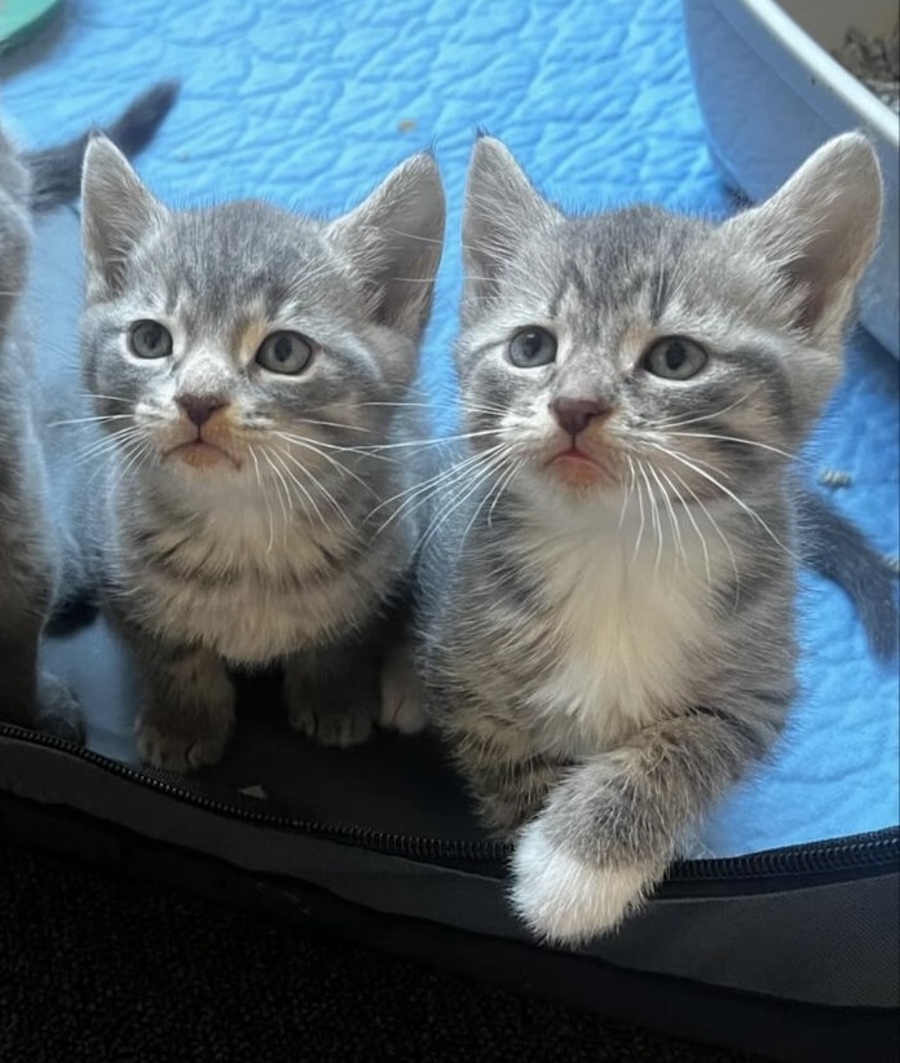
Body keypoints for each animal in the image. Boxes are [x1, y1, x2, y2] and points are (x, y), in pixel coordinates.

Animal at [76, 136, 444, 772]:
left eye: (284, 352)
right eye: (150, 340)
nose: (198, 400)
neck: (243, 530)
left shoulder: (387, 559)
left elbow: (344, 635)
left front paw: (333, 694)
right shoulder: (118, 570)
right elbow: (171, 648)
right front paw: (184, 719)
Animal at [415, 132, 888, 944]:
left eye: (675, 359)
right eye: (532, 347)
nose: (575, 404)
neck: (615, 550)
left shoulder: (756, 695)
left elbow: (688, 747)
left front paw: (578, 866)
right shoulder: (467, 684)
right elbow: (512, 775)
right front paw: (540, 845)